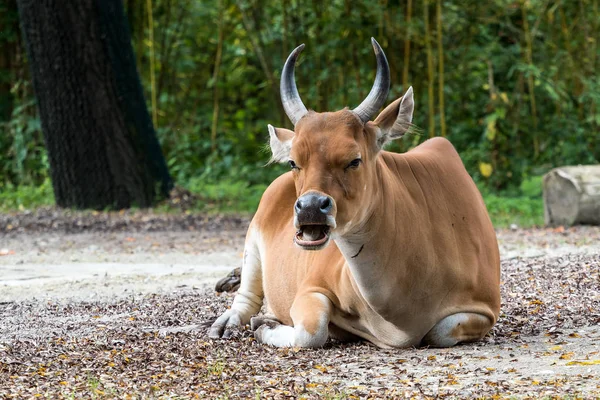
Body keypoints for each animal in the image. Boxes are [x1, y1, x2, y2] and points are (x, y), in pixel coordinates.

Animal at [209, 39, 500, 348]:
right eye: (293, 162)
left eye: (354, 160)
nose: (310, 207)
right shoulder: (311, 288)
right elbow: (311, 330)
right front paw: (266, 324)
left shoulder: (485, 309)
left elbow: (441, 331)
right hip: (253, 239)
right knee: (247, 295)